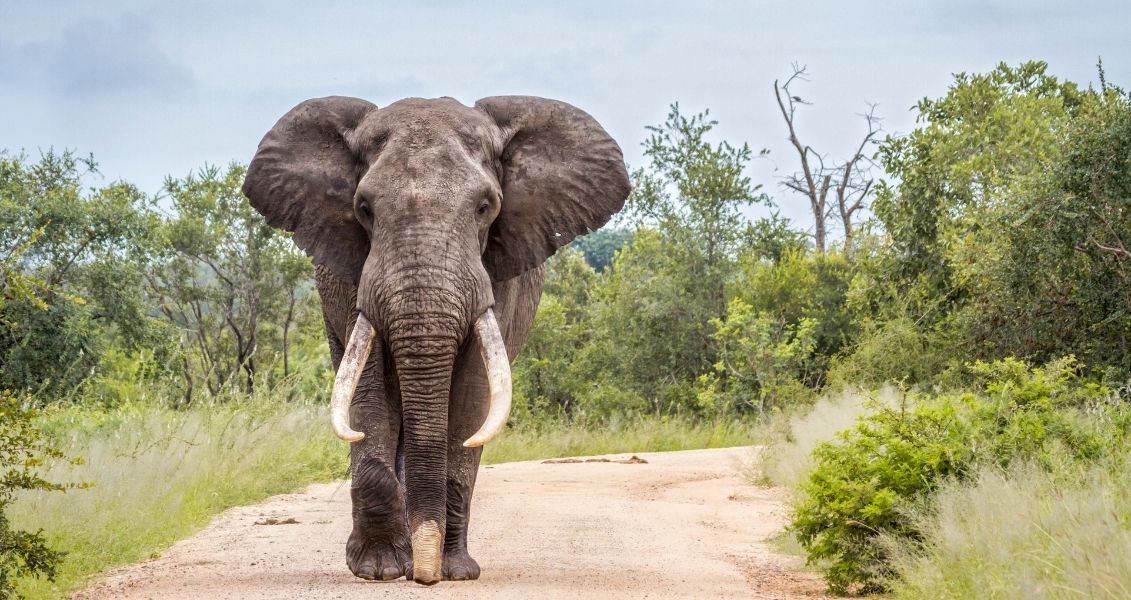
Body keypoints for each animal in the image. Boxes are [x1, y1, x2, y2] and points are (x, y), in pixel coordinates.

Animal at [242, 95, 630, 585]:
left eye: (485, 207)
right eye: (364, 208)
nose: (425, 577)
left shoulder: (495, 276)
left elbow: (469, 398)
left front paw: (452, 570)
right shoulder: (355, 275)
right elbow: (369, 391)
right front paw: (380, 569)